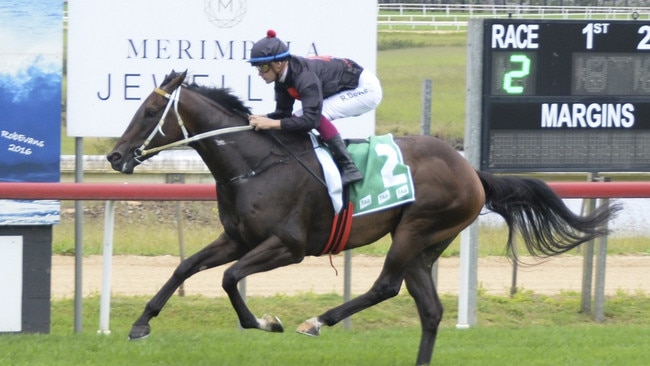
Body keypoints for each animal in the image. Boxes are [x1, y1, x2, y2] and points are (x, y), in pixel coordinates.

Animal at [106, 70, 616, 364]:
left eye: (150, 110)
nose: (114, 156)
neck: (255, 163)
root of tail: (470, 169)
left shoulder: (287, 247)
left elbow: (230, 279)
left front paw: (267, 323)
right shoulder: (238, 237)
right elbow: (186, 267)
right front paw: (140, 323)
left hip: (415, 228)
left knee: (386, 287)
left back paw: (318, 321)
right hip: (427, 244)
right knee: (429, 310)